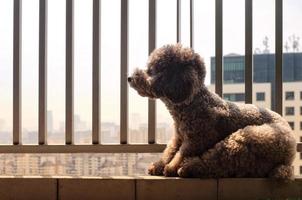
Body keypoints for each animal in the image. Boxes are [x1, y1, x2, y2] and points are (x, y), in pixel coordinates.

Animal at [126, 44, 296, 179]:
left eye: (152, 70)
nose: (129, 77)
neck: (192, 103)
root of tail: (288, 160)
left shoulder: (197, 139)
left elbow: (181, 153)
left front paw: (170, 168)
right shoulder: (179, 136)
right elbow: (170, 151)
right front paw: (158, 165)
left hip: (247, 137)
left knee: (217, 161)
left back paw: (187, 168)